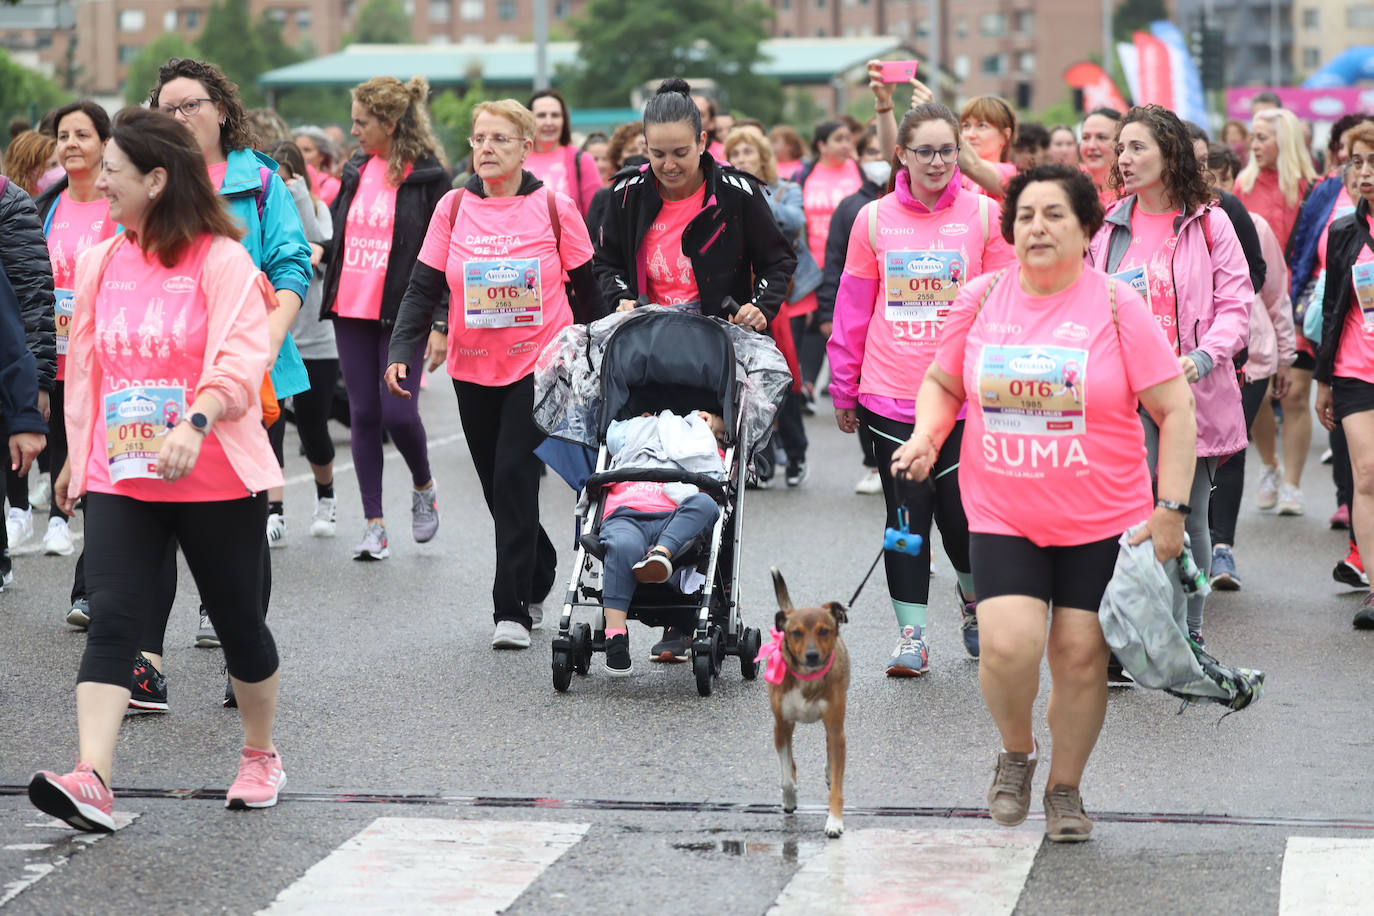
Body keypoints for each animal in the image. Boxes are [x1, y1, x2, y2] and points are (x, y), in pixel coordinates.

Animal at [769, 568, 851, 840]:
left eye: (824, 631)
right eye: (796, 633)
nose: (812, 655)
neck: (807, 677)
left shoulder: (836, 726)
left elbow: (837, 785)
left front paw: (834, 821)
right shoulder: (781, 724)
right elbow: (786, 775)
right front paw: (789, 797)